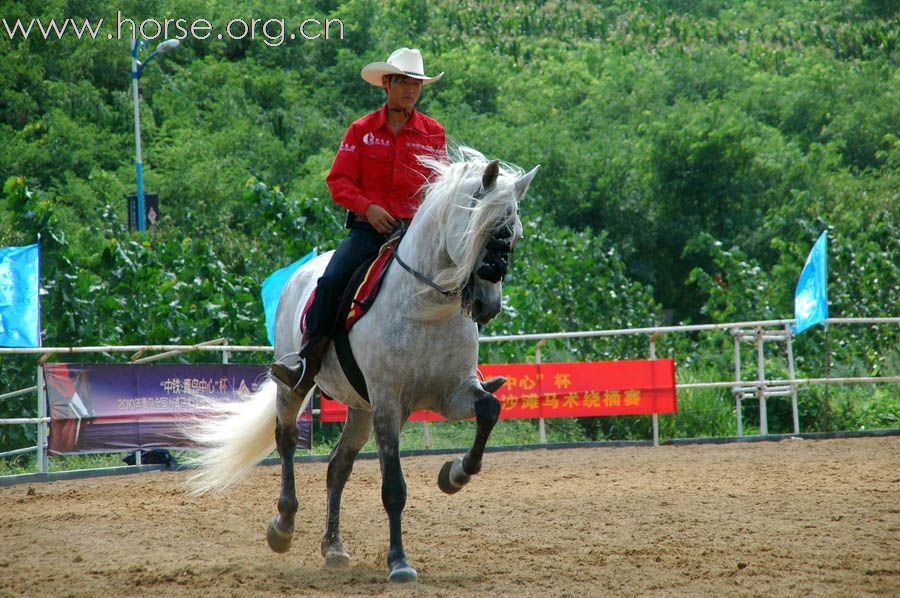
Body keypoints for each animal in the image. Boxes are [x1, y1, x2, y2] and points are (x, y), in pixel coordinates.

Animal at [182, 150, 536, 584]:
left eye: (514, 238)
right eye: (484, 233)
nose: (488, 306)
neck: (426, 308)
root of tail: (299, 274)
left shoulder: (451, 394)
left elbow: (489, 409)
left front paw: (454, 474)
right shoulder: (387, 403)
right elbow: (393, 487)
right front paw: (399, 562)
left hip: (360, 409)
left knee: (338, 466)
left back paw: (333, 547)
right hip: (297, 387)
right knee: (286, 440)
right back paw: (283, 525)